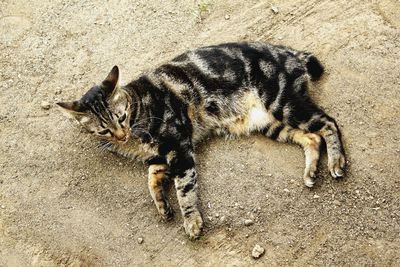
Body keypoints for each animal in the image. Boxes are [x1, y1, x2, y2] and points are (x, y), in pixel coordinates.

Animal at [57, 42, 346, 241]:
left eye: (122, 116)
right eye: (104, 130)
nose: (121, 135)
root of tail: (290, 52)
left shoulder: (178, 145)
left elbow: (184, 188)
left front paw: (191, 221)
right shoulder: (160, 156)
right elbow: (152, 179)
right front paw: (162, 206)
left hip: (284, 104)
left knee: (329, 124)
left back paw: (337, 163)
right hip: (271, 123)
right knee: (312, 137)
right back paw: (310, 172)